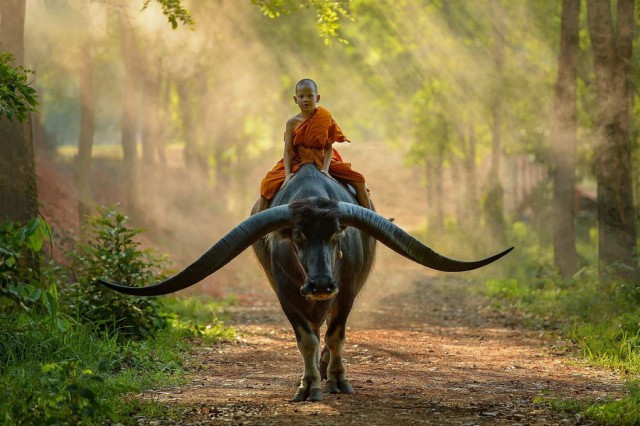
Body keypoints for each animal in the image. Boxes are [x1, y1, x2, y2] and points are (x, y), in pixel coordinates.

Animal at [97, 163, 512, 402]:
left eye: (336, 234)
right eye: (297, 235)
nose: (321, 284)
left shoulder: (346, 291)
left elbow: (336, 334)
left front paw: (336, 380)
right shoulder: (286, 294)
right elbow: (306, 338)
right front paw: (308, 385)